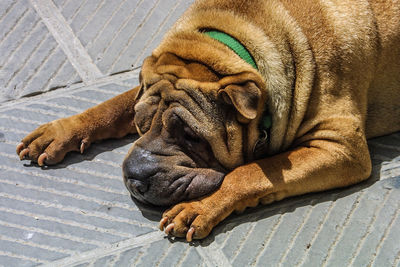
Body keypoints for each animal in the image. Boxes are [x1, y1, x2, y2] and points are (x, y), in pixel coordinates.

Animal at [15, 0, 400, 243]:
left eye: (191, 137)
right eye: (140, 124)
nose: (135, 178)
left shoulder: (341, 146)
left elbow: (247, 174)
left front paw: (200, 208)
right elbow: (114, 104)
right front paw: (62, 131)